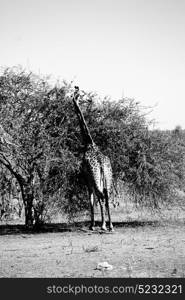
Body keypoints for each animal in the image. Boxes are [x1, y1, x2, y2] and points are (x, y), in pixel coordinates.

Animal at [71, 85, 113, 231]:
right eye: (81, 94)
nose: (89, 100)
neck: (89, 143)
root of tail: (101, 164)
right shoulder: (90, 179)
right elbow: (94, 199)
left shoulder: (86, 177)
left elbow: (91, 200)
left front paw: (92, 224)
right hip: (107, 177)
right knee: (106, 195)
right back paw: (110, 225)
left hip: (96, 179)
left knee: (101, 196)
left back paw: (104, 225)